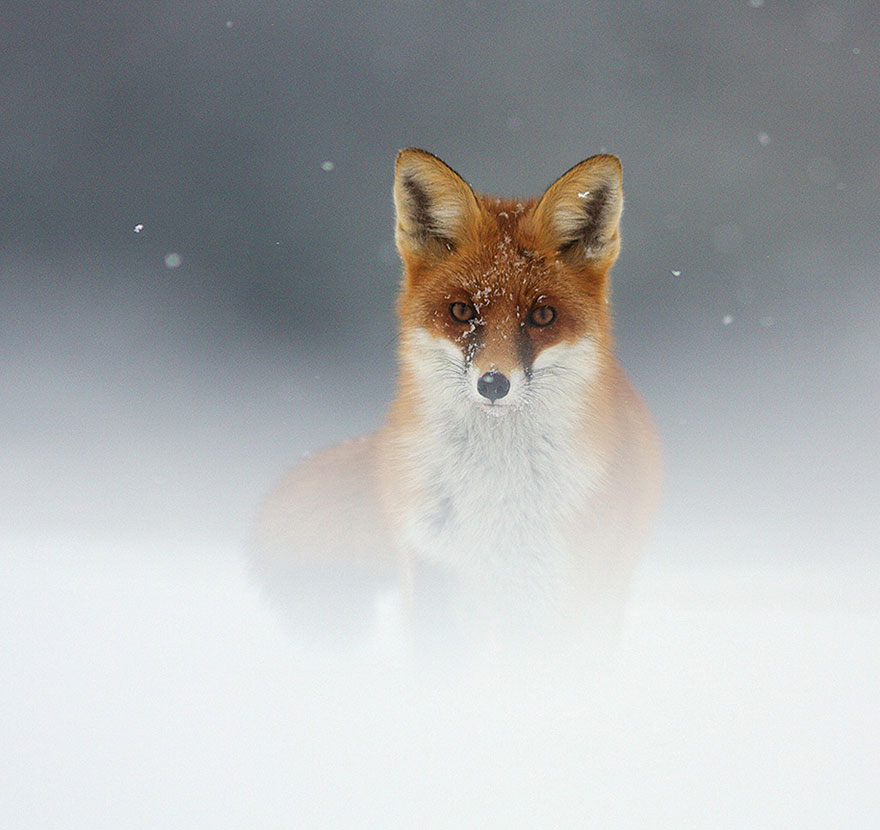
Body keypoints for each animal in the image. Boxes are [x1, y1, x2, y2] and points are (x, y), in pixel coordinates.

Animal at [255, 149, 661, 652]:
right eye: (462, 311)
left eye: (543, 315)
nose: (493, 383)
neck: (496, 492)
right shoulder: (434, 571)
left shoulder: (557, 594)